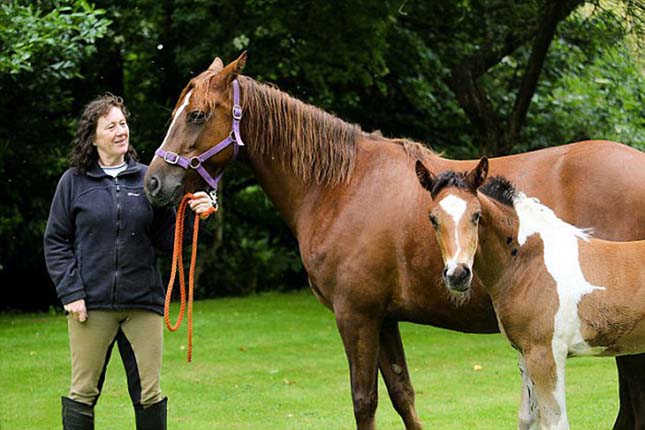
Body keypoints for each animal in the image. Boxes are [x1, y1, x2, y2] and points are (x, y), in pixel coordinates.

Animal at [412, 158, 644, 430]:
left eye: (476, 215)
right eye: (433, 218)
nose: (457, 275)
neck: (529, 261)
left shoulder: (546, 355)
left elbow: (555, 421)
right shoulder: (525, 354)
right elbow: (527, 418)